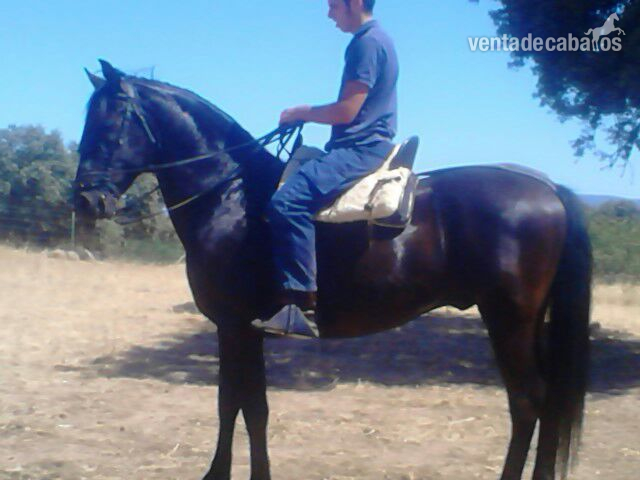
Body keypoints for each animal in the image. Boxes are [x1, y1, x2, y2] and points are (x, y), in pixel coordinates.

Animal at [73, 60, 591, 480]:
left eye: (110, 121)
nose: (85, 200)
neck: (231, 196)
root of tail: (548, 189)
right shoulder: (241, 329)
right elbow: (242, 405)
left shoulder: (235, 326)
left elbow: (240, 406)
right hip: (527, 320)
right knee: (544, 403)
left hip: (508, 318)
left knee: (527, 401)